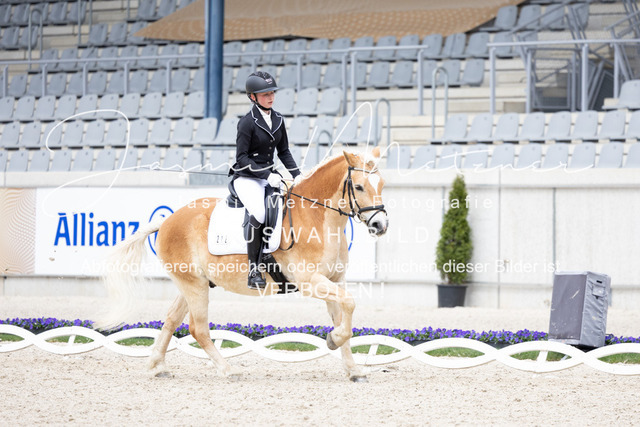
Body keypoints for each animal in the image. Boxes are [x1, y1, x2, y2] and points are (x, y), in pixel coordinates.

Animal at [98, 147, 389, 381]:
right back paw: (228, 370)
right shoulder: (310, 282)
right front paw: (333, 340)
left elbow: (344, 317)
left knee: (171, 320)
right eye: (359, 187)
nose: (380, 225)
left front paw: (353, 369)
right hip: (194, 286)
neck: (315, 216)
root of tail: (168, 220)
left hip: (192, 283)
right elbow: (350, 304)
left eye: (382, 184)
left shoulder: (334, 280)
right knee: (198, 328)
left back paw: (157, 366)